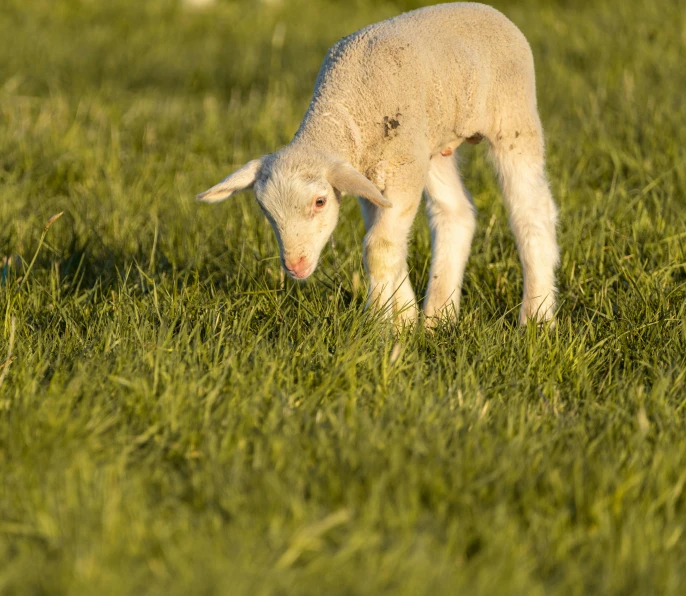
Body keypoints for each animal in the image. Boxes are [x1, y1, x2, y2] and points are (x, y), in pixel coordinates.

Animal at [198, 2, 560, 326]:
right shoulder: (368, 178)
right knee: (455, 213)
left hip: (512, 118)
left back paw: (537, 317)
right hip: (430, 145)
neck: (344, 111)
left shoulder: (399, 168)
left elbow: (379, 247)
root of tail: (485, 9)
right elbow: (388, 246)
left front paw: (380, 325)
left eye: (320, 202)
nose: (295, 266)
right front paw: (403, 319)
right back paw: (438, 318)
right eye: (264, 209)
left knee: (531, 210)